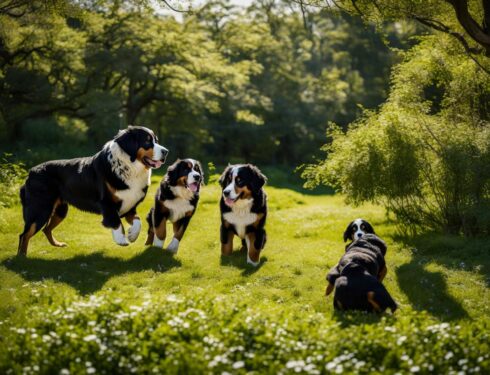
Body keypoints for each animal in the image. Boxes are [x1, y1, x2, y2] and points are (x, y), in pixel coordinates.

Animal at [17, 125, 168, 258]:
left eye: (156, 140)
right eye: (147, 141)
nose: (166, 151)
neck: (129, 168)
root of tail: (31, 172)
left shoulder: (129, 205)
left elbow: (138, 222)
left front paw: (132, 235)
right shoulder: (107, 203)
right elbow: (116, 222)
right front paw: (121, 239)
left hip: (60, 211)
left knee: (46, 229)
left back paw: (57, 244)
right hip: (40, 209)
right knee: (25, 234)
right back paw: (21, 257)